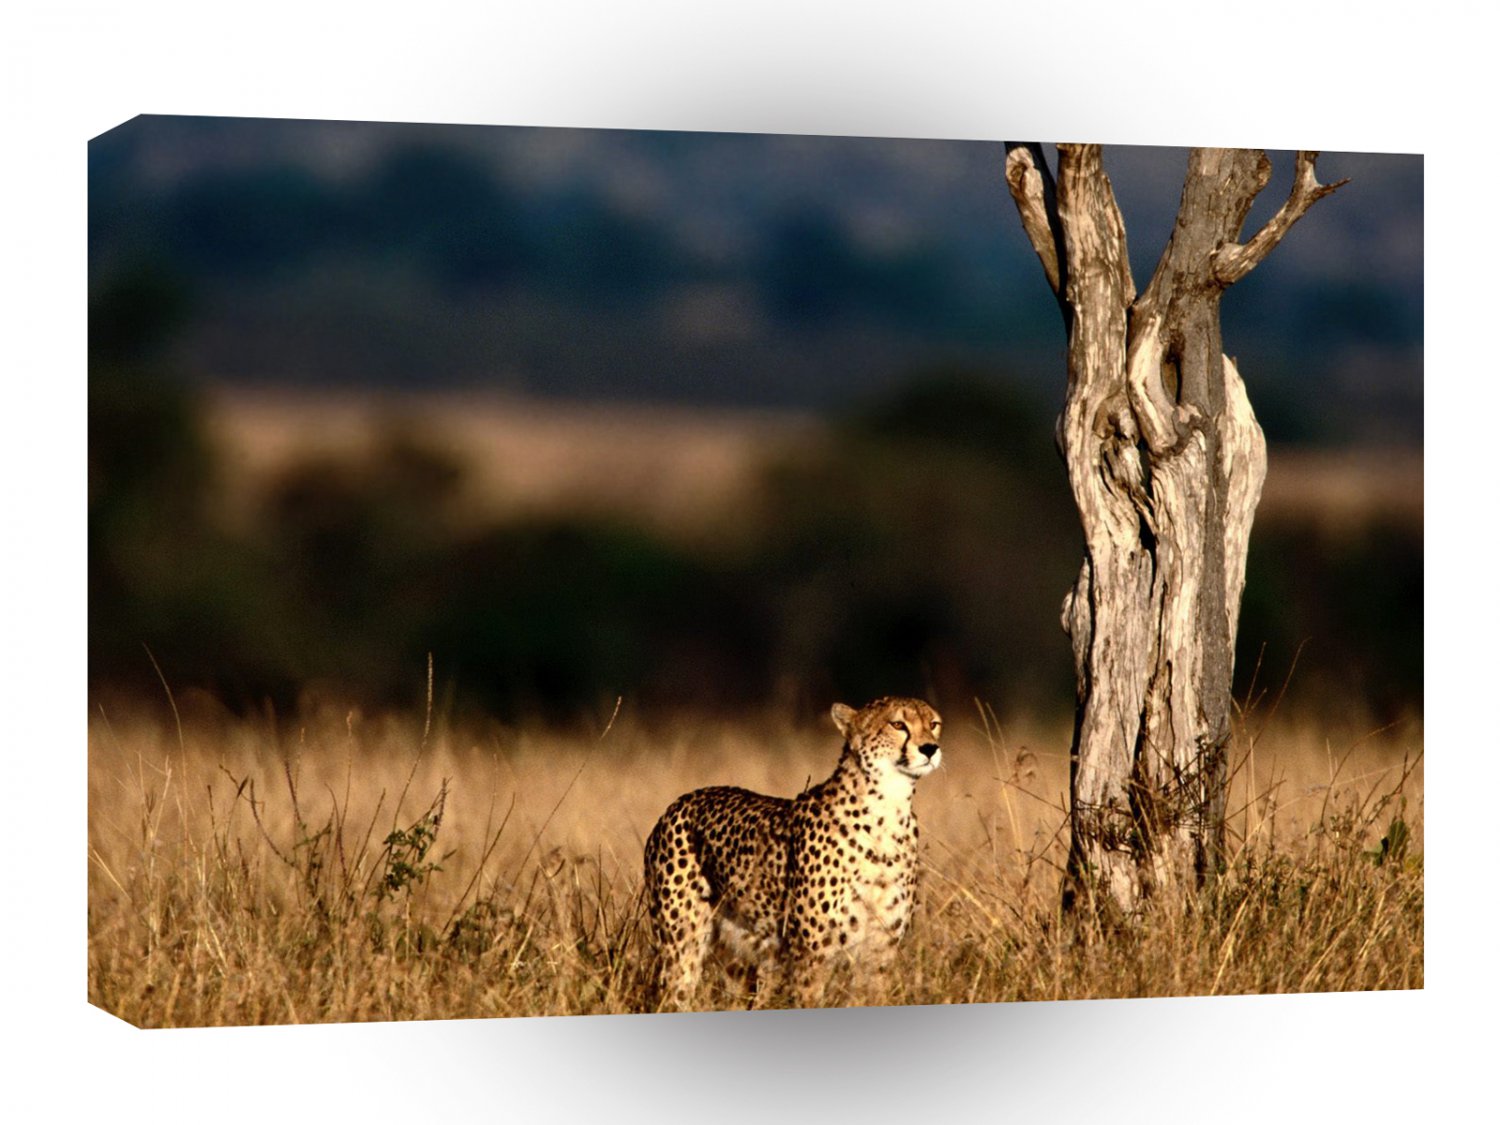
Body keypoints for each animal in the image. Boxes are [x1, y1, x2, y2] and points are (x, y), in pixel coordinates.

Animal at [642, 695, 942, 1010]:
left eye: (933, 724)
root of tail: (683, 799)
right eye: (897, 724)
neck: (888, 810)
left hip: (738, 954)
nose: (930, 748)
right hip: (681, 944)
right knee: (673, 993)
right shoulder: (810, 955)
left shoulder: (879, 952)